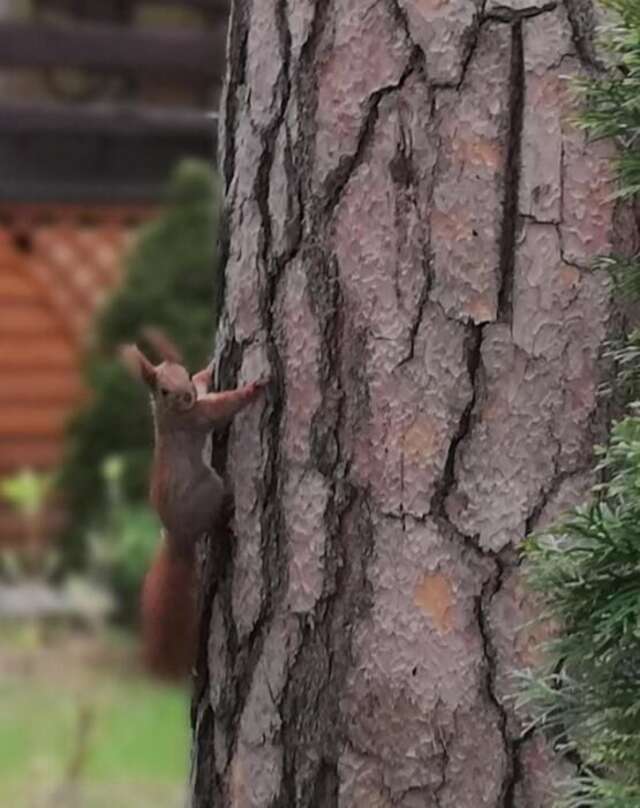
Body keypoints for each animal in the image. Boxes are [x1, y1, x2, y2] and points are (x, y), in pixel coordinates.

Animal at [120, 326, 268, 680]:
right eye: (163, 390)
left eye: (184, 373)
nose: (186, 396)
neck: (170, 413)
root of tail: (179, 537)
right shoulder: (199, 417)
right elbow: (223, 406)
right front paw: (251, 389)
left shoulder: (198, 400)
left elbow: (205, 384)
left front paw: (210, 366)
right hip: (209, 487)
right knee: (214, 514)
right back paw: (226, 511)